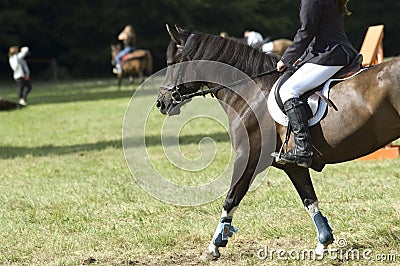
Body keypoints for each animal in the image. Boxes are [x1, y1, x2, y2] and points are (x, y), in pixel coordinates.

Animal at [156, 25, 400, 262]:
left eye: (171, 64)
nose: (161, 102)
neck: (251, 92)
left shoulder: (248, 157)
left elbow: (231, 199)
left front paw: (214, 246)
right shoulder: (293, 166)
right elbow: (309, 200)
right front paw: (323, 243)